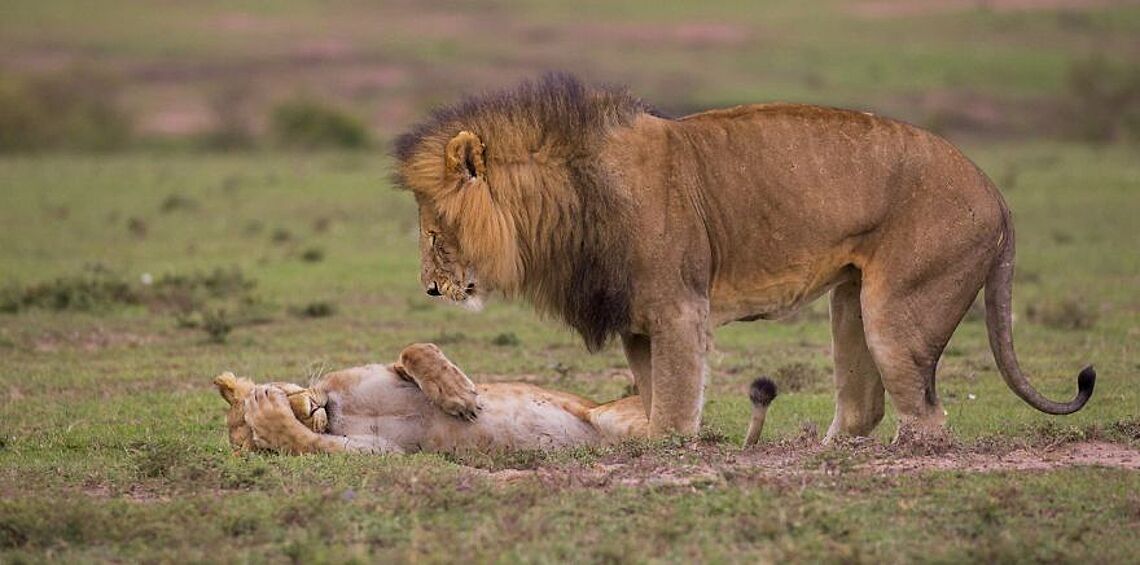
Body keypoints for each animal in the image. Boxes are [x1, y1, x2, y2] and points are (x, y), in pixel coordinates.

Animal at [394, 72, 1094, 439]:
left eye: (433, 231)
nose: (428, 290)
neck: (565, 201)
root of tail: (996, 193)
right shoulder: (638, 325)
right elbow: (655, 394)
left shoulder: (679, 309)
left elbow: (675, 405)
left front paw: (666, 449)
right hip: (851, 302)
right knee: (863, 407)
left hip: (900, 310)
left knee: (928, 417)